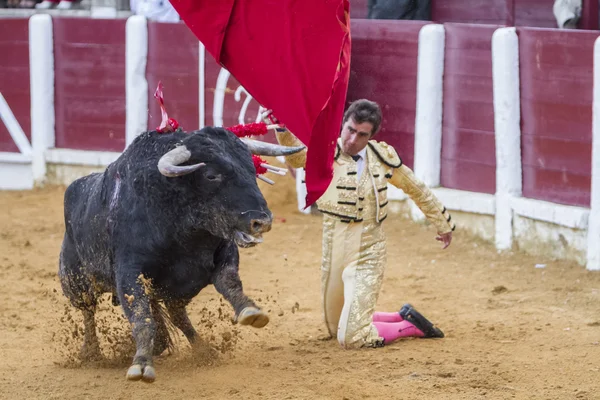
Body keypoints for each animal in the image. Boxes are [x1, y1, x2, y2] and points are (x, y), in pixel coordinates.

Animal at [58, 127, 304, 382]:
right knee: (88, 311)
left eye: (252, 169)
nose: (262, 221)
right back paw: (92, 353)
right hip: (75, 280)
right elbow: (141, 316)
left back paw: (203, 350)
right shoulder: (128, 273)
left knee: (176, 315)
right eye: (211, 176)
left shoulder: (222, 254)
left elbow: (230, 283)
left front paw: (250, 310)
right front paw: (141, 364)